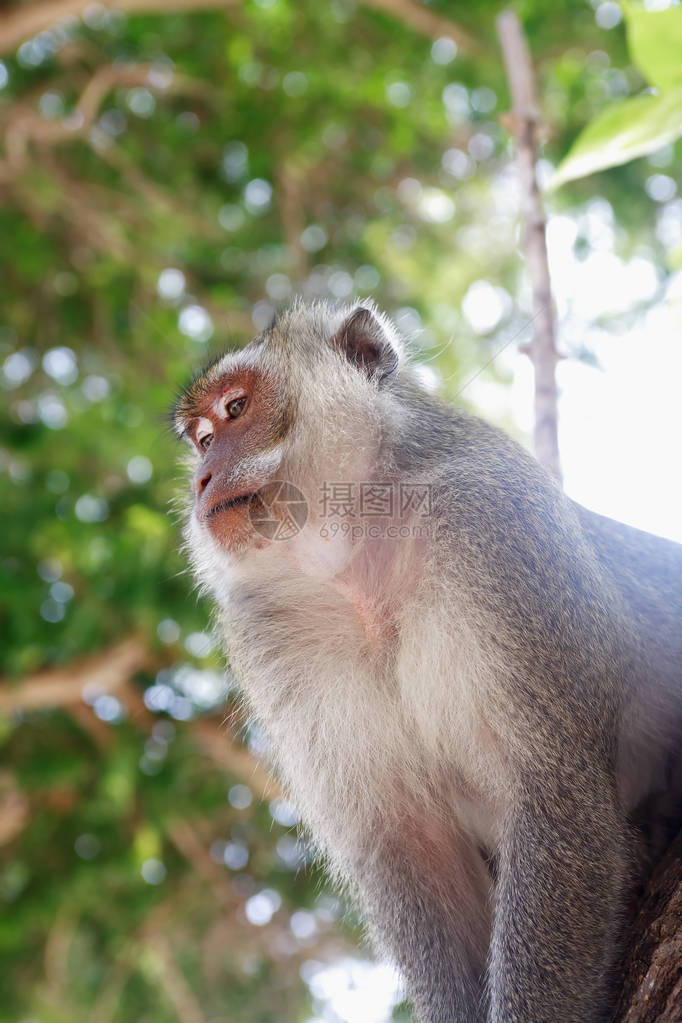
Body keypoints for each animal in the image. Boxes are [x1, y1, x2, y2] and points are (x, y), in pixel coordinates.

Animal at [171, 300, 682, 1023]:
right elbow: (413, 850)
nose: (203, 477)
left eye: (236, 408)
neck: (361, 551)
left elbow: (557, 795)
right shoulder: (269, 633)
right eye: (201, 436)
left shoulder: (492, 521)